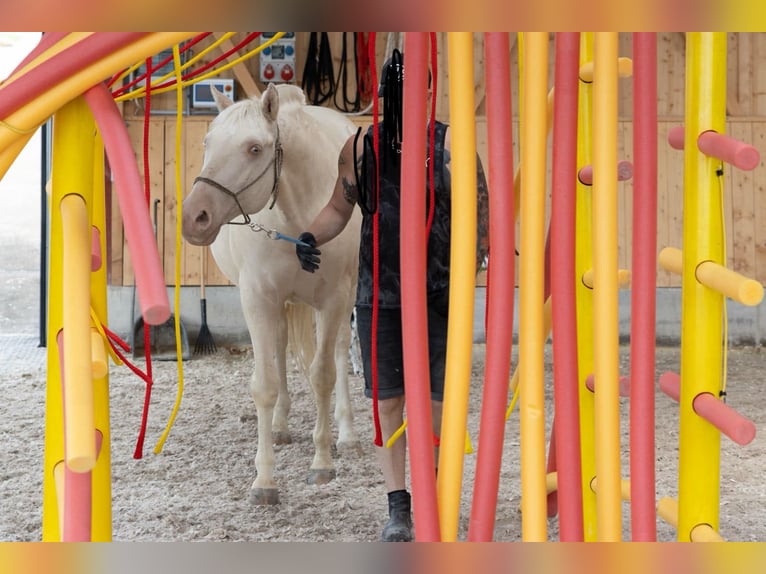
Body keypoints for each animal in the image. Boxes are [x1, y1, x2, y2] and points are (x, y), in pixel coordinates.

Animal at [183, 83, 364, 506]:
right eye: (208, 142)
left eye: (254, 148)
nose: (194, 216)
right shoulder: (258, 300)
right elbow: (264, 384)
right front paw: (264, 480)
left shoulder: (333, 301)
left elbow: (324, 375)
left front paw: (322, 462)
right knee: (280, 350)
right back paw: (280, 426)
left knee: (339, 352)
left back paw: (347, 435)